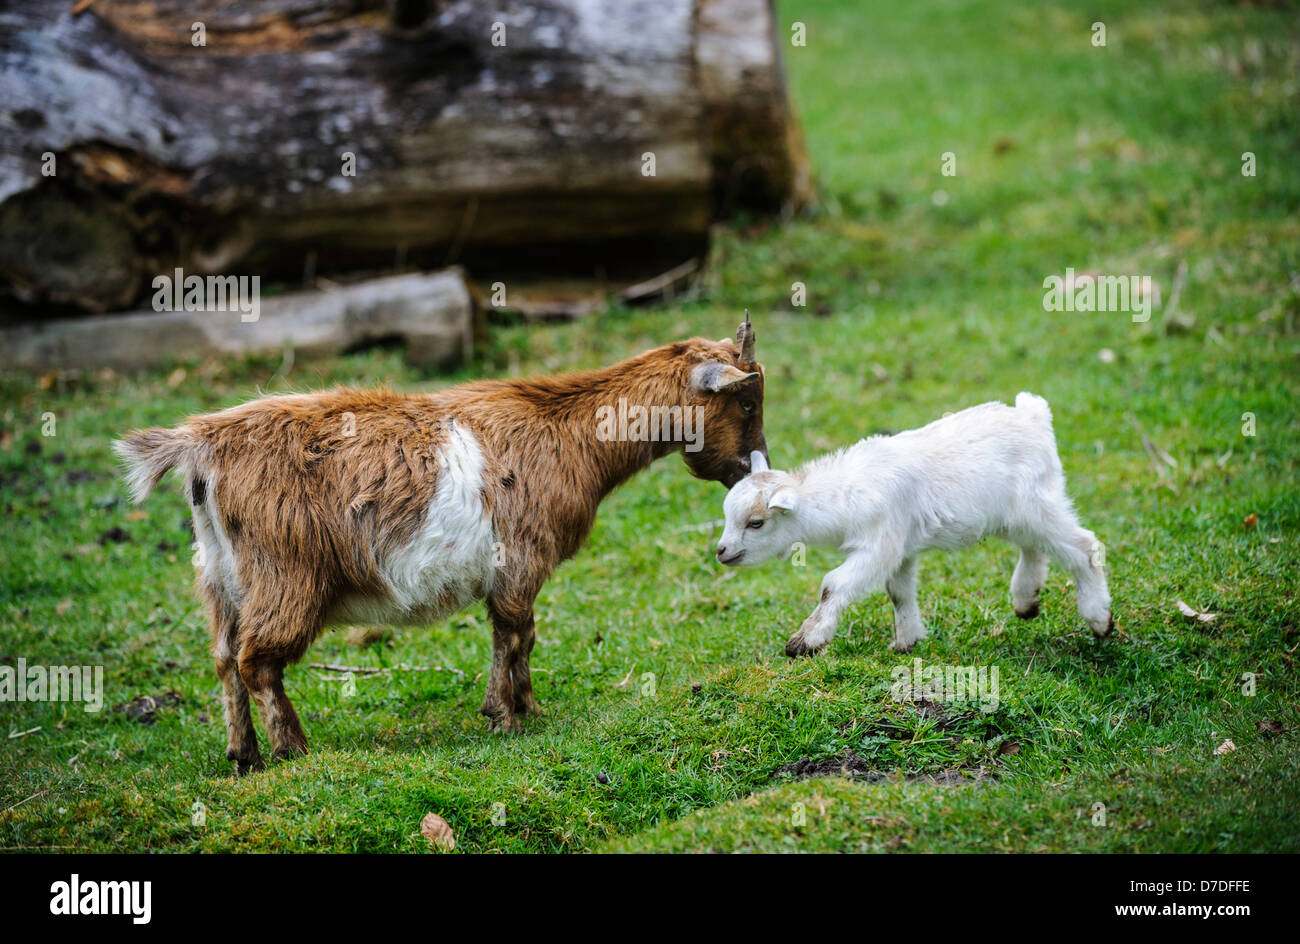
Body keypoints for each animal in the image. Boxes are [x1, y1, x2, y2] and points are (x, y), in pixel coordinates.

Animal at [115, 318, 766, 773]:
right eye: (746, 401)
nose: (750, 468)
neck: (568, 430)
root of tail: (202, 444)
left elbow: (519, 635)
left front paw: (524, 709)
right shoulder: (519, 560)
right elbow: (515, 633)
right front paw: (508, 716)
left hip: (218, 572)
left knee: (224, 658)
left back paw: (243, 756)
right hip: (285, 571)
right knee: (257, 660)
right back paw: (294, 750)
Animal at [715, 392, 1112, 655]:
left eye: (755, 523)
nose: (722, 551)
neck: (843, 494)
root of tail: (1033, 414)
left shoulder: (879, 544)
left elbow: (833, 584)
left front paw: (805, 640)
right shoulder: (901, 549)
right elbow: (898, 591)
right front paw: (906, 641)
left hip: (1037, 504)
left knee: (1083, 546)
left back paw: (1099, 619)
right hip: (1018, 515)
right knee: (1034, 548)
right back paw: (1026, 600)